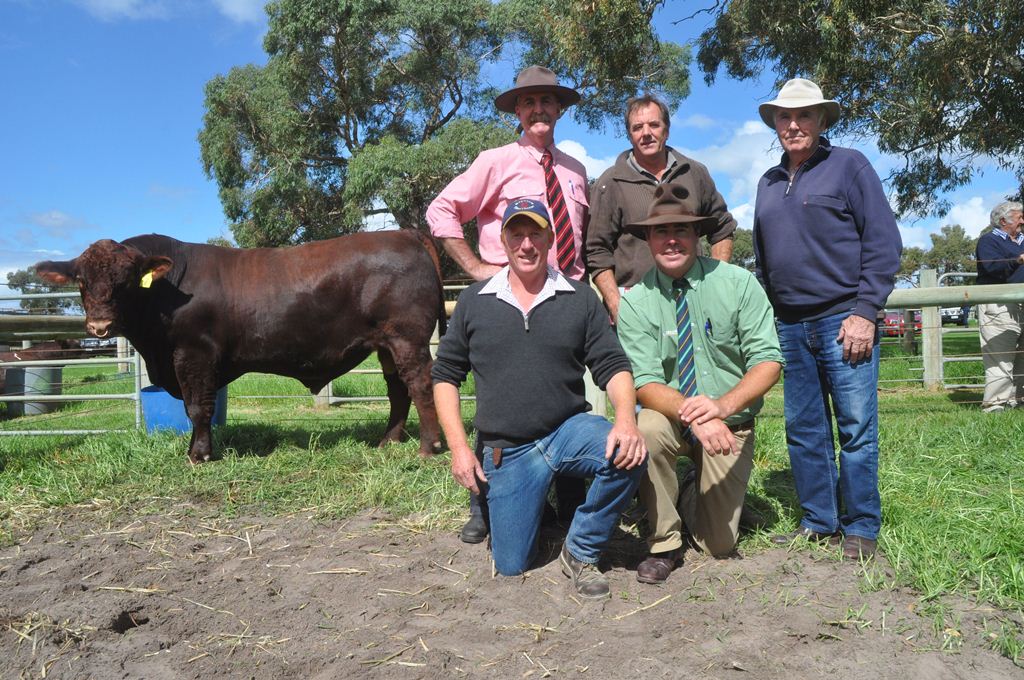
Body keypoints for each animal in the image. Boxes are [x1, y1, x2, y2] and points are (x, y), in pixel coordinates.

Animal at [35, 232, 444, 462]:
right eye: (82, 281)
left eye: (127, 280)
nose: (99, 325)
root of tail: (405, 234)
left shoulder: (194, 353)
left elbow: (197, 407)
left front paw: (199, 454)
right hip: (386, 344)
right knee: (398, 390)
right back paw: (388, 442)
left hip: (407, 337)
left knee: (420, 385)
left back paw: (428, 448)